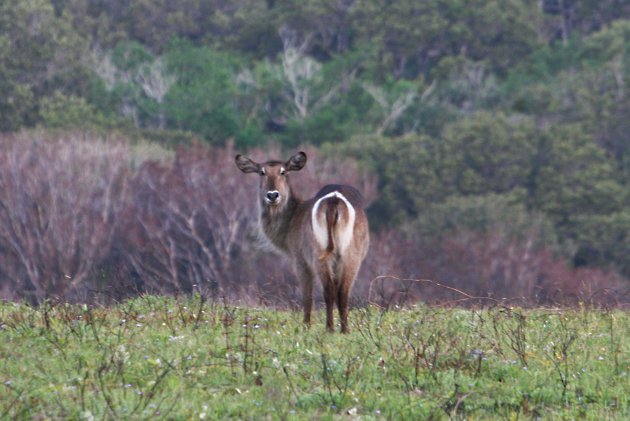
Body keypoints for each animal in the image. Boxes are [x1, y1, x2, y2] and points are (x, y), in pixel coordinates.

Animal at [237, 151, 370, 332]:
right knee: (342, 291)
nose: (272, 195)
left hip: (319, 254)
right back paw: (344, 330)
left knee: (328, 289)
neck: (291, 219)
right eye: (261, 172)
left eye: (283, 171)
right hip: (350, 255)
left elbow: (307, 294)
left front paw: (306, 325)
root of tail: (334, 201)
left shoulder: (300, 259)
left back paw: (329, 328)